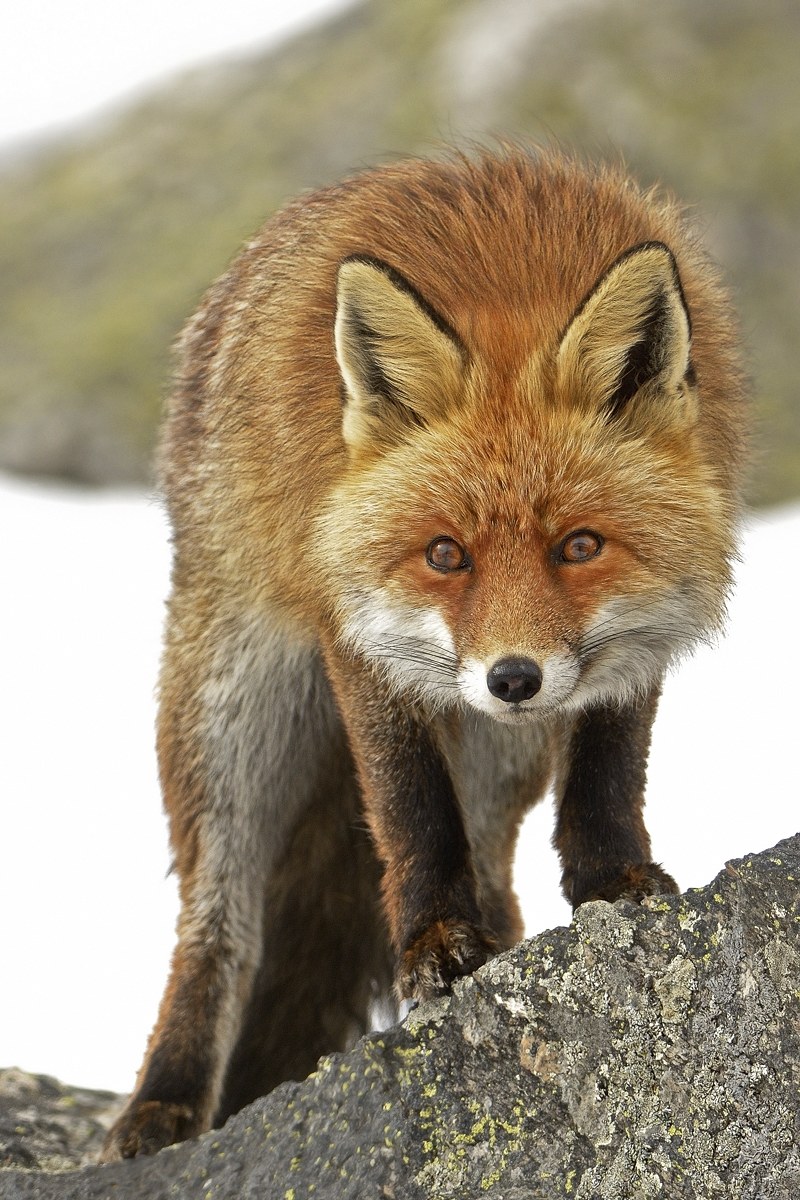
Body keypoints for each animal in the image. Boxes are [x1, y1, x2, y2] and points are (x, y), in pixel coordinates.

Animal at [101, 145, 747, 1160]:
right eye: (447, 555)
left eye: (580, 546)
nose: (513, 679)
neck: (512, 273)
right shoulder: (361, 638)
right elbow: (409, 811)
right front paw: (435, 943)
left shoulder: (630, 643)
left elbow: (608, 773)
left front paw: (613, 885)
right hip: (232, 723)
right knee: (218, 930)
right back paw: (162, 1103)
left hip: (494, 754)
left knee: (493, 871)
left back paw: (509, 954)